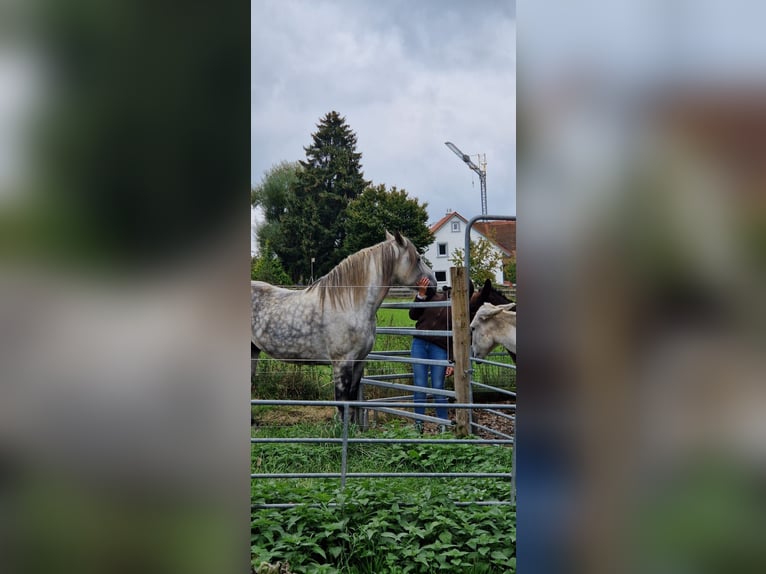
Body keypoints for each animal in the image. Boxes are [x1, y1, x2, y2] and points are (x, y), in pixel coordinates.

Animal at [255, 232, 438, 426]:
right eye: (418, 258)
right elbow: (343, 404)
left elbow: (353, 400)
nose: (433, 285)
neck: (350, 303)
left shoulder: (359, 362)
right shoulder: (342, 363)